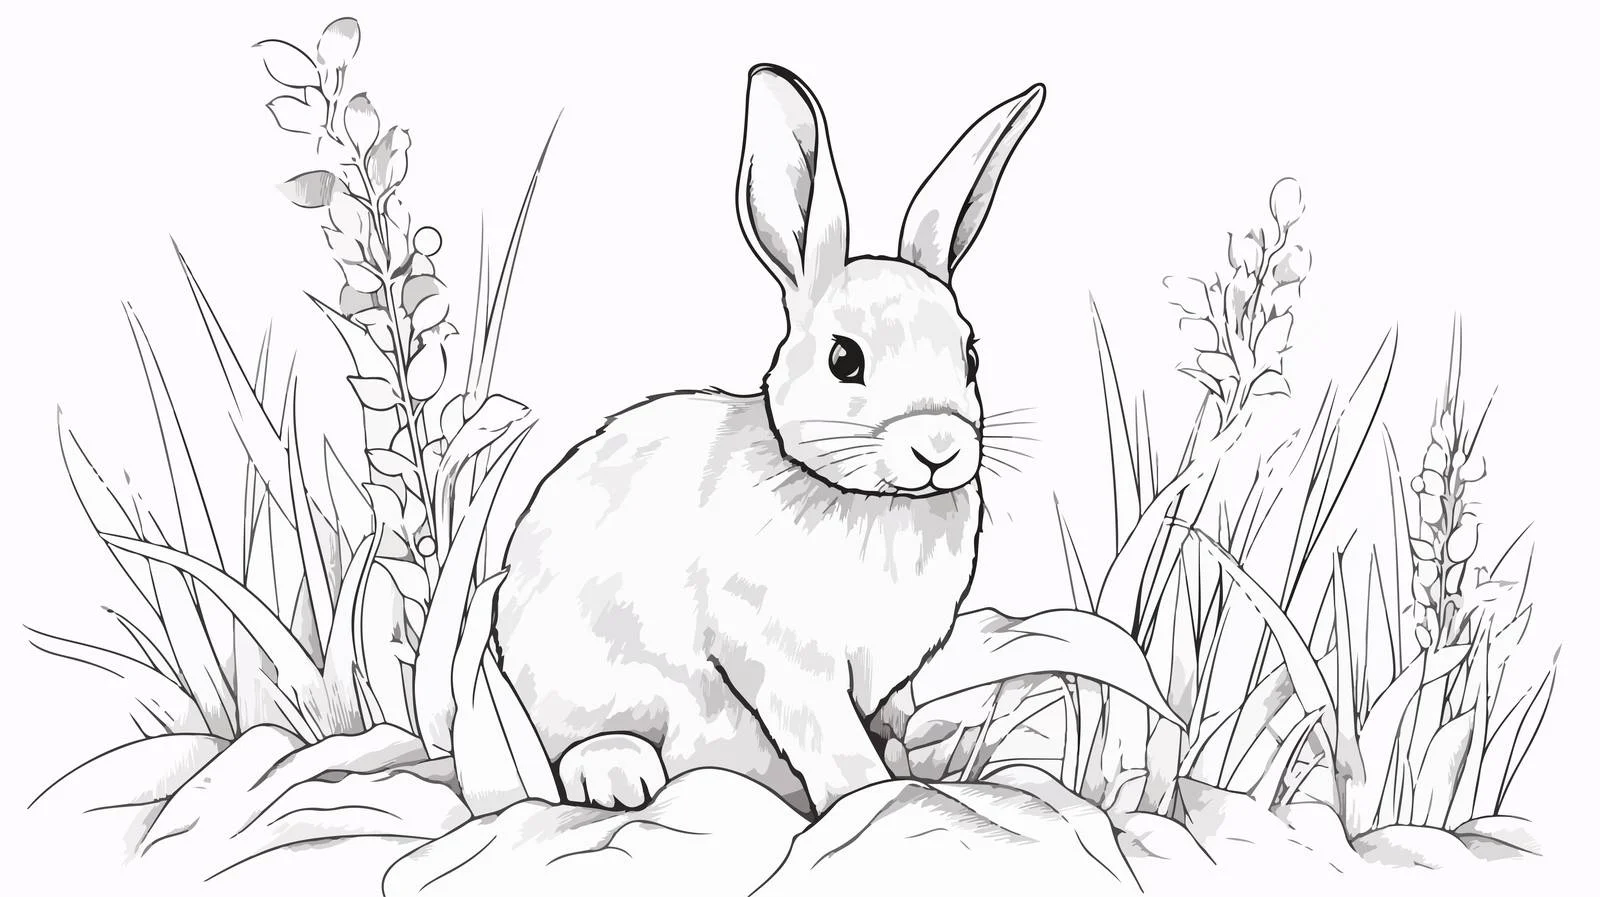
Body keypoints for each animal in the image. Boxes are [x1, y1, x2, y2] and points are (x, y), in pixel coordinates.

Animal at [496, 64, 1044, 816]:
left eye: (970, 356)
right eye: (845, 359)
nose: (939, 446)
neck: (864, 499)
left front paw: (910, 757)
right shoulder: (782, 653)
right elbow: (833, 744)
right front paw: (880, 796)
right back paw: (615, 773)